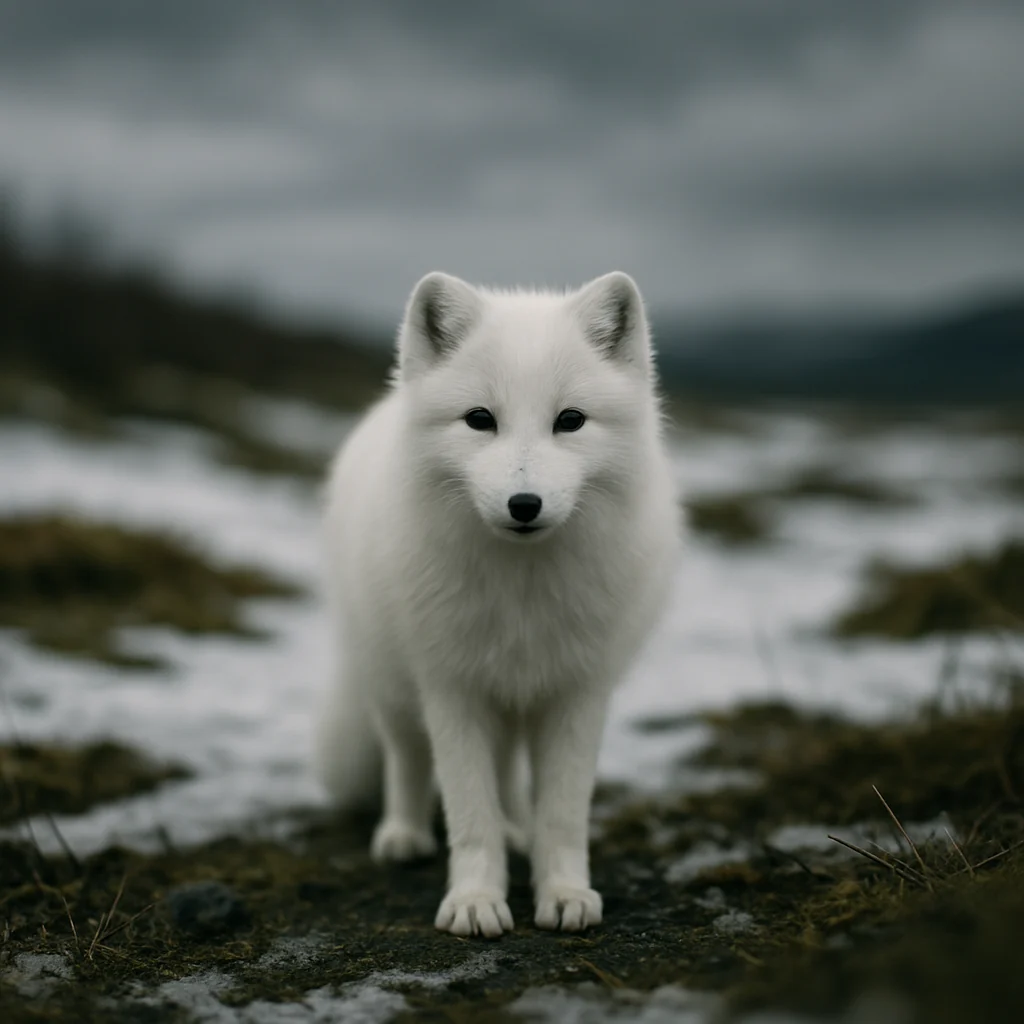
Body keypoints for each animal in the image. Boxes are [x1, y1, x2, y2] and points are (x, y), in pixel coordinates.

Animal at [314, 270, 681, 936]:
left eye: (571, 420)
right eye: (479, 419)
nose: (524, 504)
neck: (523, 592)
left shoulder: (578, 693)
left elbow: (562, 812)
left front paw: (562, 890)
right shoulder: (451, 690)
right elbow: (468, 811)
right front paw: (475, 901)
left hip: (513, 700)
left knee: (509, 771)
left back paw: (518, 830)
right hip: (391, 683)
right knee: (405, 759)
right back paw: (403, 834)